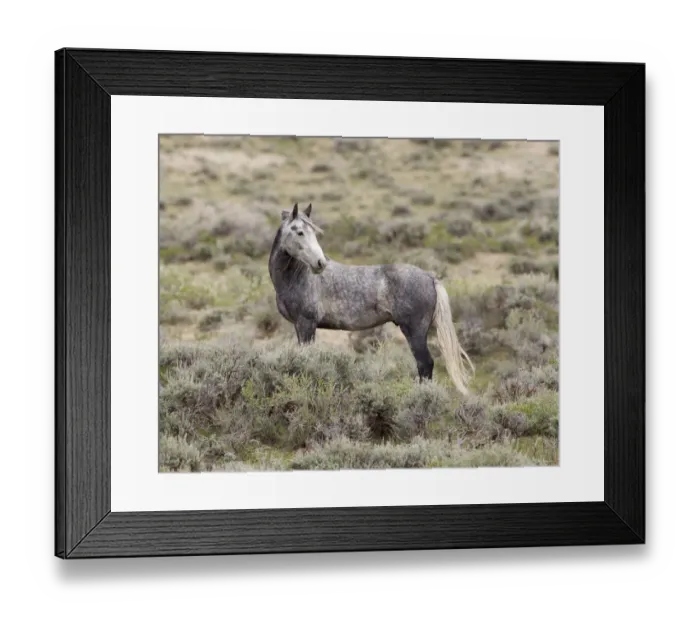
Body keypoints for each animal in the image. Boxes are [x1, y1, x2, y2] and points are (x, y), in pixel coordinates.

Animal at [268, 202, 476, 395]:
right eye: (300, 232)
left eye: (313, 233)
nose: (320, 263)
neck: (299, 277)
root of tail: (430, 277)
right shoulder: (300, 326)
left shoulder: (306, 324)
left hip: (415, 331)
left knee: (425, 364)